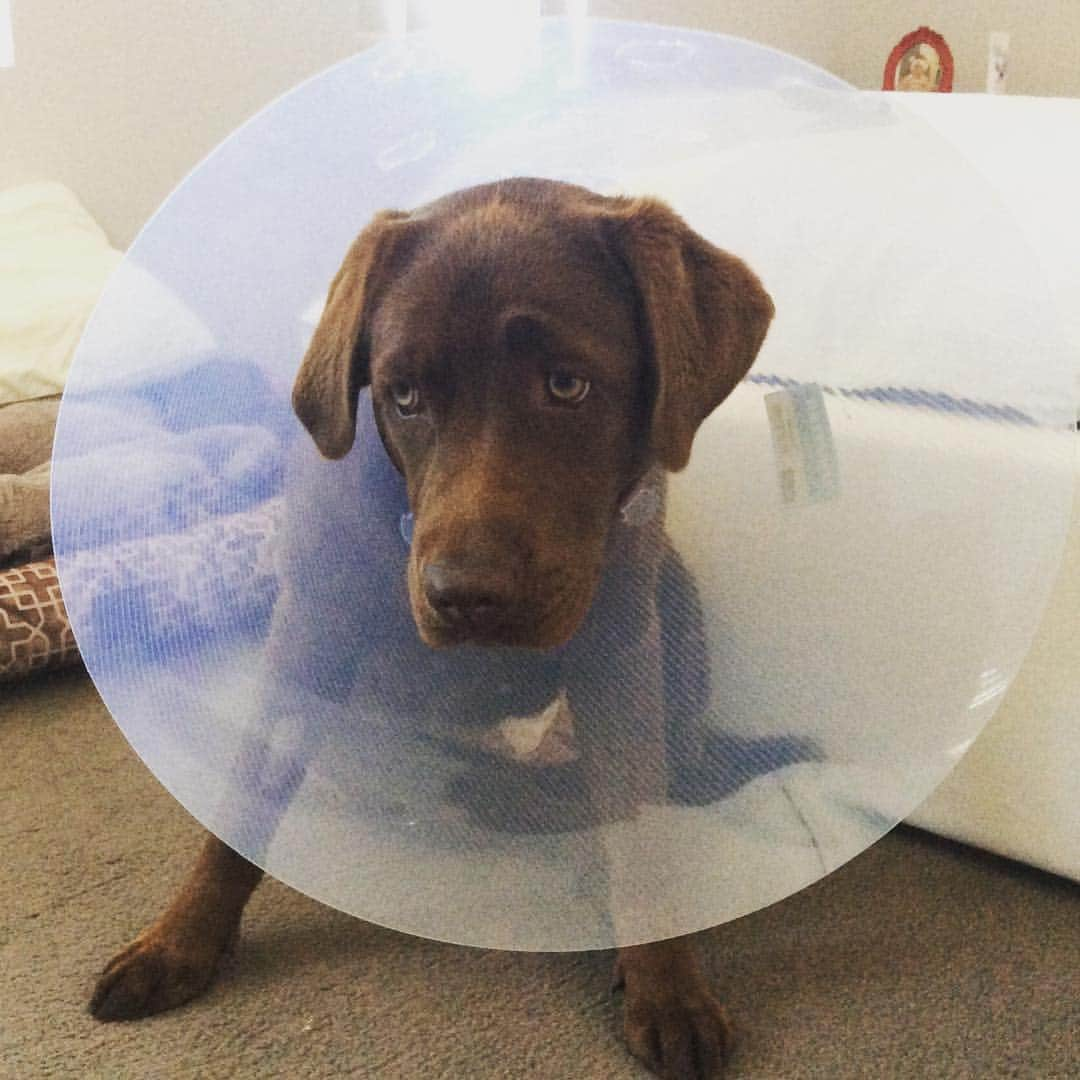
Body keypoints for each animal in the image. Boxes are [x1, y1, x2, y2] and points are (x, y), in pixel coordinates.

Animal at [88, 179, 773, 1080]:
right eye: (404, 395)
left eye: (567, 385)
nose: (465, 596)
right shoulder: (308, 634)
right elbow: (239, 811)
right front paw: (179, 943)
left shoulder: (621, 652)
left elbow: (639, 838)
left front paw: (668, 989)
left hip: (674, 595)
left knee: (652, 775)